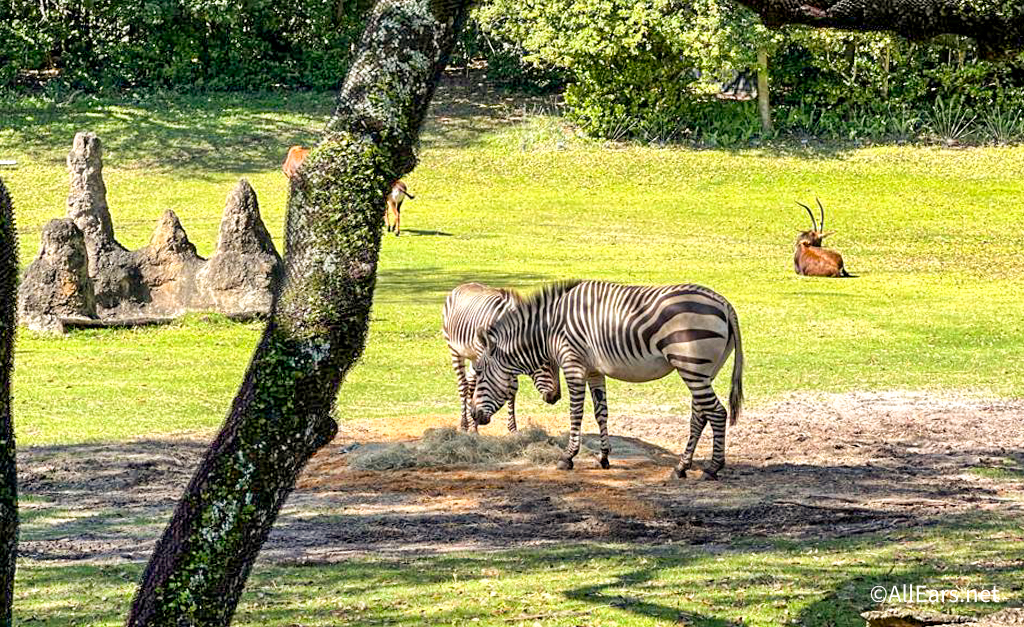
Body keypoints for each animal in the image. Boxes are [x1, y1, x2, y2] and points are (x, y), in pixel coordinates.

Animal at [444, 282, 565, 434]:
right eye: (545, 362)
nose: (556, 397)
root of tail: (463, 285)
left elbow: (511, 389)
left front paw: (512, 428)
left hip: (473, 357)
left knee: (471, 381)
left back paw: (472, 424)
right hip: (454, 350)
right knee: (463, 385)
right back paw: (464, 425)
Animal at [468, 280, 745, 479]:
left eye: (479, 372)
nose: (473, 415)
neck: (551, 327)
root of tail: (724, 304)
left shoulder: (574, 365)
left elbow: (576, 413)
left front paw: (567, 457)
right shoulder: (594, 370)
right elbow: (601, 412)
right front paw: (603, 458)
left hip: (692, 366)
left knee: (717, 413)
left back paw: (712, 468)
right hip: (704, 371)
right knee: (700, 416)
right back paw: (681, 467)